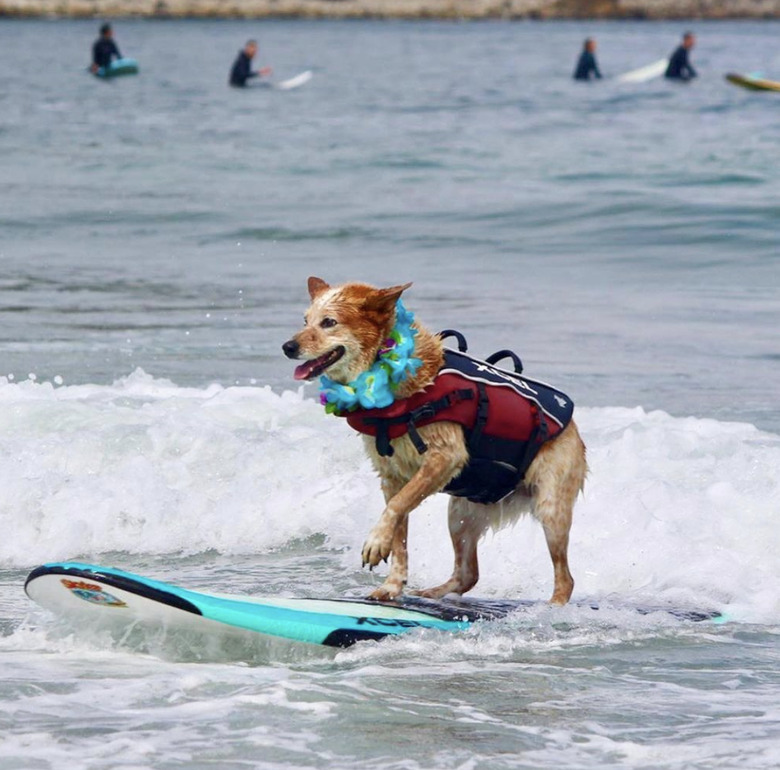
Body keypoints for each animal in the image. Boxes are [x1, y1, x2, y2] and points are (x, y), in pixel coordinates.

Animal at [280, 280, 584, 604]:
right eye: (305, 320)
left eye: (329, 322)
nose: (288, 347)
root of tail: (574, 428)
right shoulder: (391, 475)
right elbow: (399, 533)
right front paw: (392, 585)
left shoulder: (444, 456)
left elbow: (397, 506)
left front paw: (376, 542)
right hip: (460, 514)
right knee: (468, 574)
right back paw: (431, 592)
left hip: (550, 507)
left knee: (565, 578)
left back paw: (552, 607)